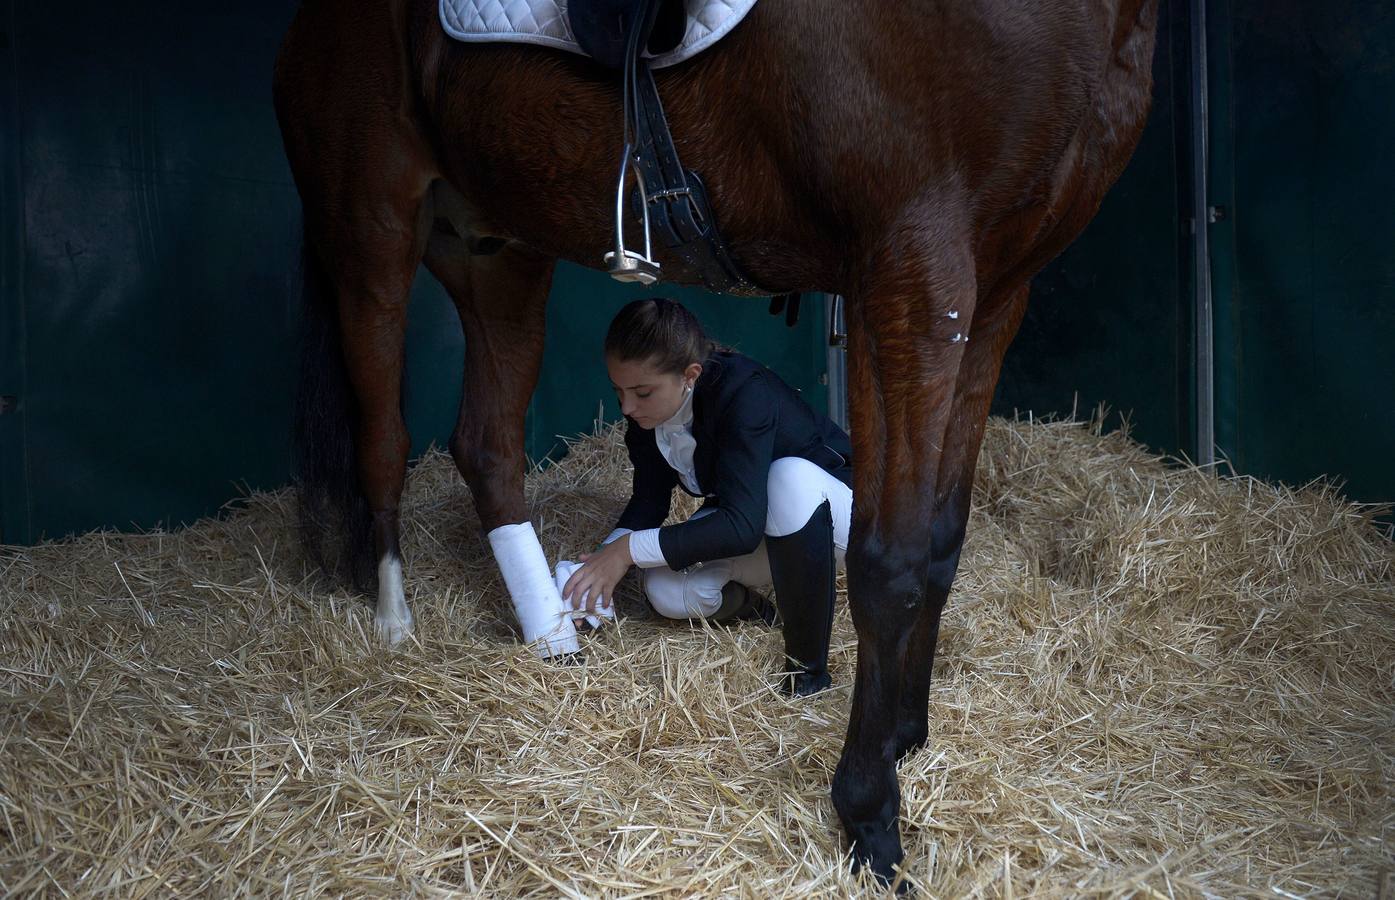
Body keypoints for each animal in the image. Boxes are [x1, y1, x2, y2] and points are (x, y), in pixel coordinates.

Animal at [269, 0, 1155, 881]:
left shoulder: (997, 289)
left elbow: (938, 541)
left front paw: (903, 739)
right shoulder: (910, 272)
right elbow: (889, 562)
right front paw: (867, 809)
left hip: (496, 246)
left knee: (486, 443)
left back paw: (551, 632)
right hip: (370, 233)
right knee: (383, 439)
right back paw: (394, 624)